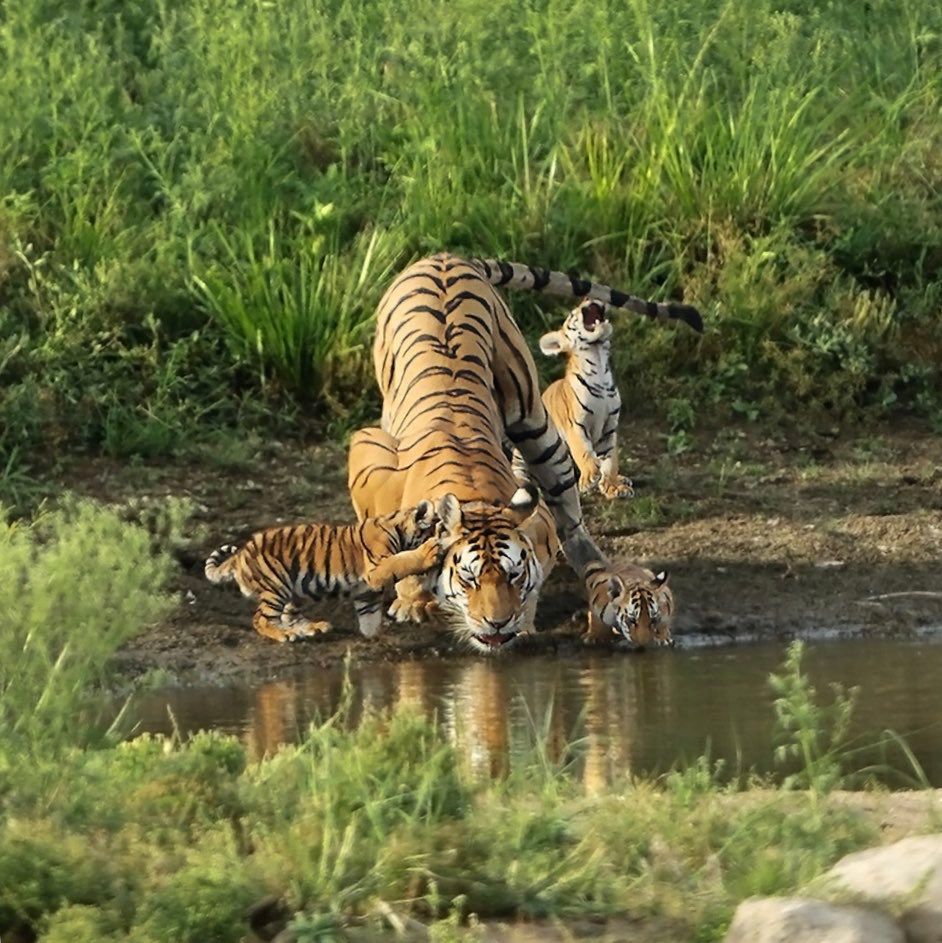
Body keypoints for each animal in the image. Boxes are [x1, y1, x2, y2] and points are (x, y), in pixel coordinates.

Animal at [346, 251, 700, 652]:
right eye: (468, 579)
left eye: (513, 575)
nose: (498, 623)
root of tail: (444, 255)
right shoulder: (368, 449)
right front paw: (410, 601)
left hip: (536, 422)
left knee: (572, 517)